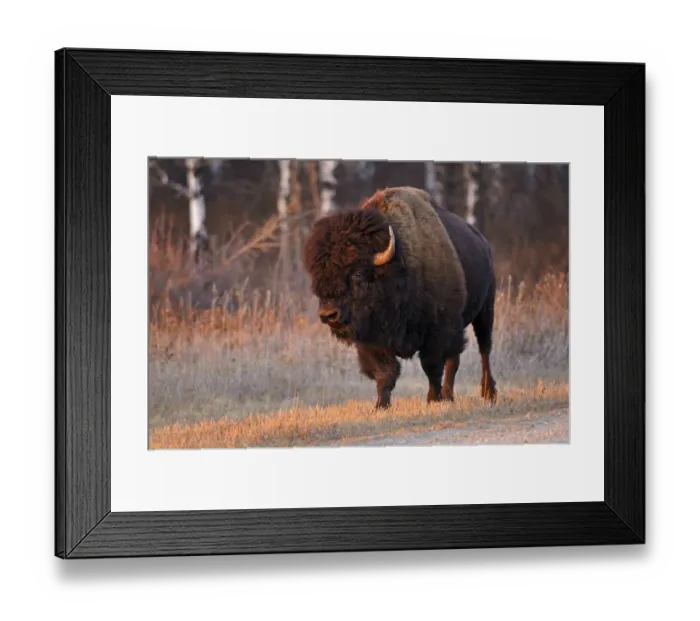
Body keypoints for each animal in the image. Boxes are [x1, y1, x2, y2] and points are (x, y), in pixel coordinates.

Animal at [302, 186, 497, 409]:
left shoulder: (438, 331)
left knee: (484, 350)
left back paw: (488, 393)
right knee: (455, 359)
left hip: (485, 311)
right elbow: (386, 372)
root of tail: (484, 243)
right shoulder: (372, 339)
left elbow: (432, 367)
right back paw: (449, 396)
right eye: (318, 276)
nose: (328, 314)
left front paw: (432, 399)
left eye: (358, 272)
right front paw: (381, 405)